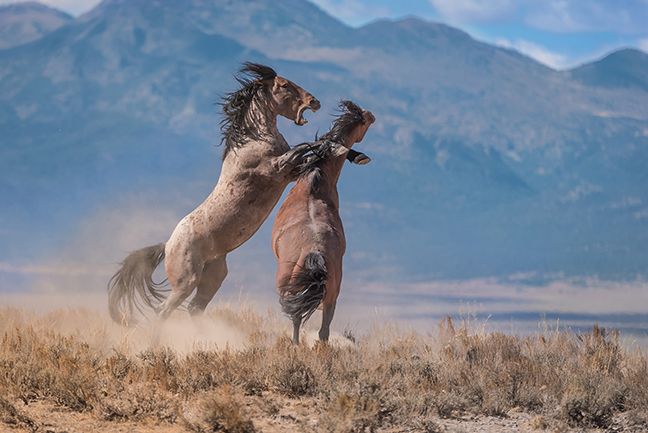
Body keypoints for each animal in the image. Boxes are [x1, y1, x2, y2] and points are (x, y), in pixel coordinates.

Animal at [108, 63, 321, 335]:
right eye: (284, 85)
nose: (314, 102)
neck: (252, 140)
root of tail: (167, 246)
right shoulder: (276, 168)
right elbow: (302, 147)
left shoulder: (289, 174)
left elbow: (305, 155)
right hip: (185, 281)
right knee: (163, 311)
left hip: (213, 277)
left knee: (194, 309)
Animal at [271, 101, 375, 344]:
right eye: (365, 119)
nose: (373, 115)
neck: (314, 182)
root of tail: (315, 254)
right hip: (330, 297)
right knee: (322, 332)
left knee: (299, 323)